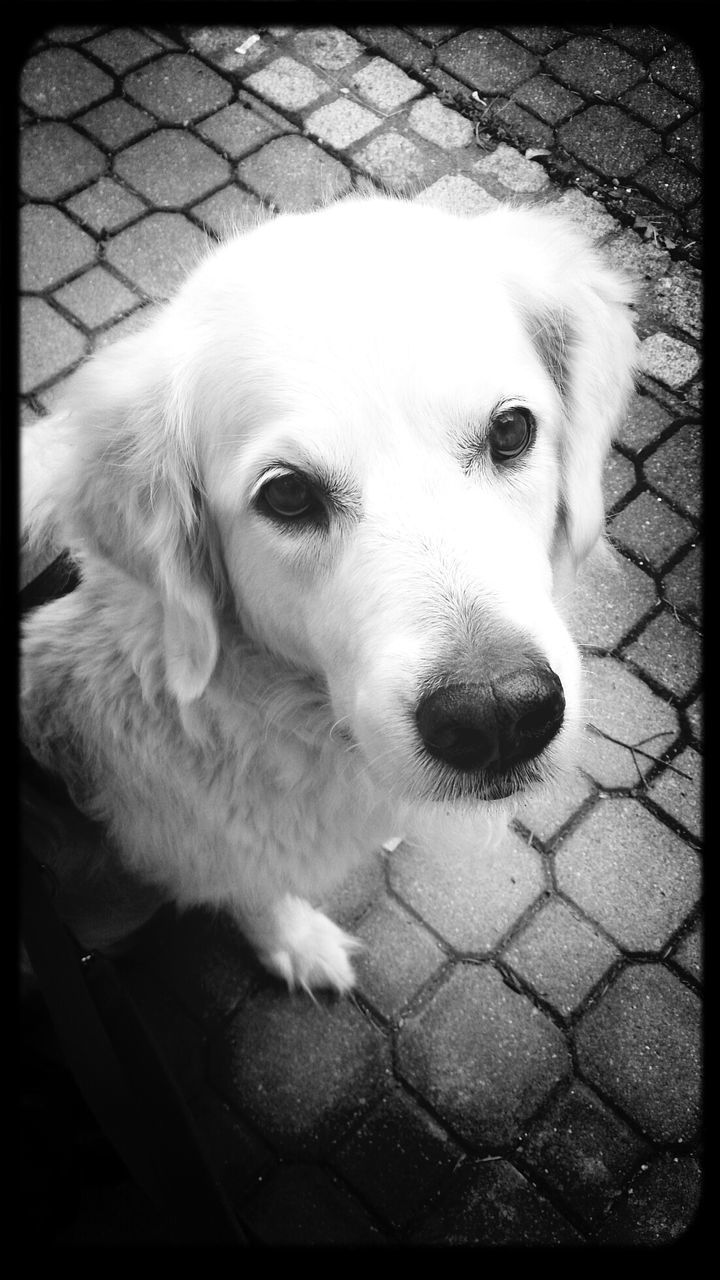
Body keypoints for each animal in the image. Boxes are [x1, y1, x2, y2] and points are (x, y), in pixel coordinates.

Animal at [20, 192, 632, 988]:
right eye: (286, 495)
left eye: (510, 430)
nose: (499, 716)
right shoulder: (202, 845)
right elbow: (253, 890)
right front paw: (295, 942)